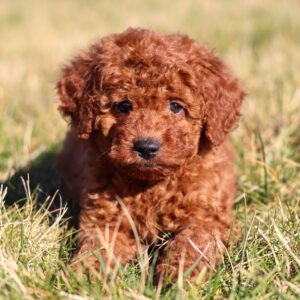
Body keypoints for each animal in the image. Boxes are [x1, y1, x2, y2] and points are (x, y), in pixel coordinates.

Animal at [56, 27, 246, 282]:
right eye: (124, 105)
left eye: (176, 106)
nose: (146, 147)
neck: (152, 186)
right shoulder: (105, 219)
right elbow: (97, 249)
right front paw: (82, 277)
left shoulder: (205, 216)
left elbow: (191, 243)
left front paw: (178, 277)